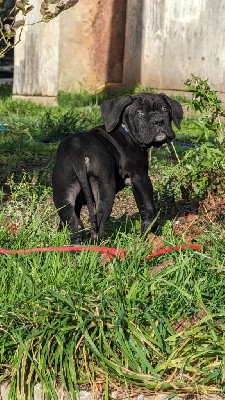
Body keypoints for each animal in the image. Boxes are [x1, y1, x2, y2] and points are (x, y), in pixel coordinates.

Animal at [52, 93, 183, 244]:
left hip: (64, 190)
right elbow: (148, 207)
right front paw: (148, 235)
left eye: (165, 109)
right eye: (139, 113)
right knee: (99, 222)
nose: (158, 121)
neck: (127, 130)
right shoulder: (140, 178)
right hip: (105, 189)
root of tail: (77, 151)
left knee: (74, 223)